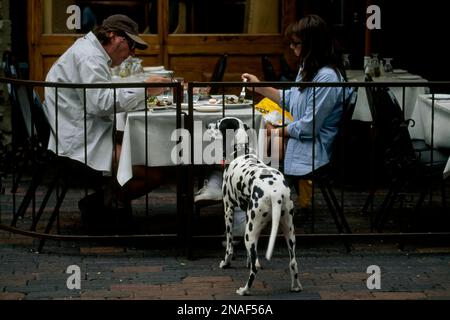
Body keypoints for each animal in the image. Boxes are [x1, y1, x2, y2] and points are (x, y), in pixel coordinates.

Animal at [207, 116, 302, 296]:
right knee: (293, 263)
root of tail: (276, 193)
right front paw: (249, 260)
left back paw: (244, 290)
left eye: (218, 124)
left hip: (250, 234)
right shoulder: (246, 214)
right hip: (288, 231)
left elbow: (229, 245)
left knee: (253, 271)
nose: (208, 125)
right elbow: (252, 257)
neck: (241, 152)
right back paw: (296, 286)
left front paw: (226, 262)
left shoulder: (228, 210)